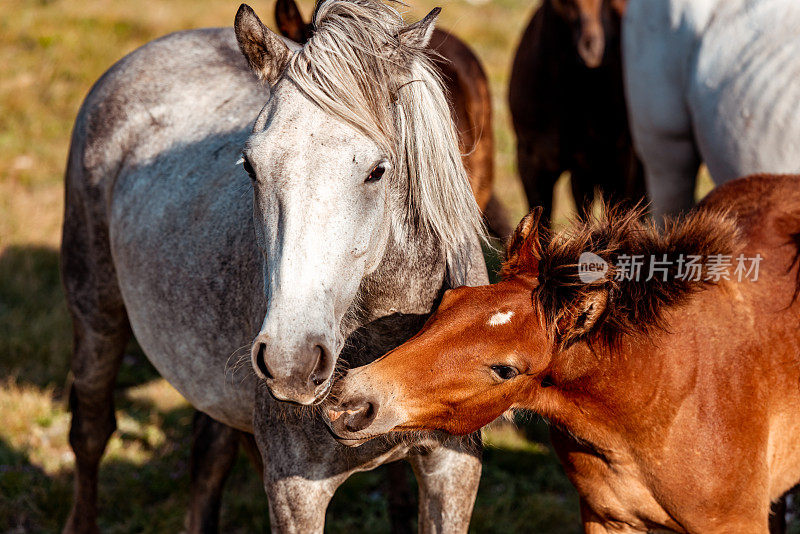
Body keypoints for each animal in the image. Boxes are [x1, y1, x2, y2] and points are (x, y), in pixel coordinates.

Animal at [59, 2, 484, 532]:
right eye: (250, 167)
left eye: (377, 171)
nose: (291, 361)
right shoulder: (295, 491)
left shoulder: (453, 469)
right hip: (95, 314)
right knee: (91, 432)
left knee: (208, 459)